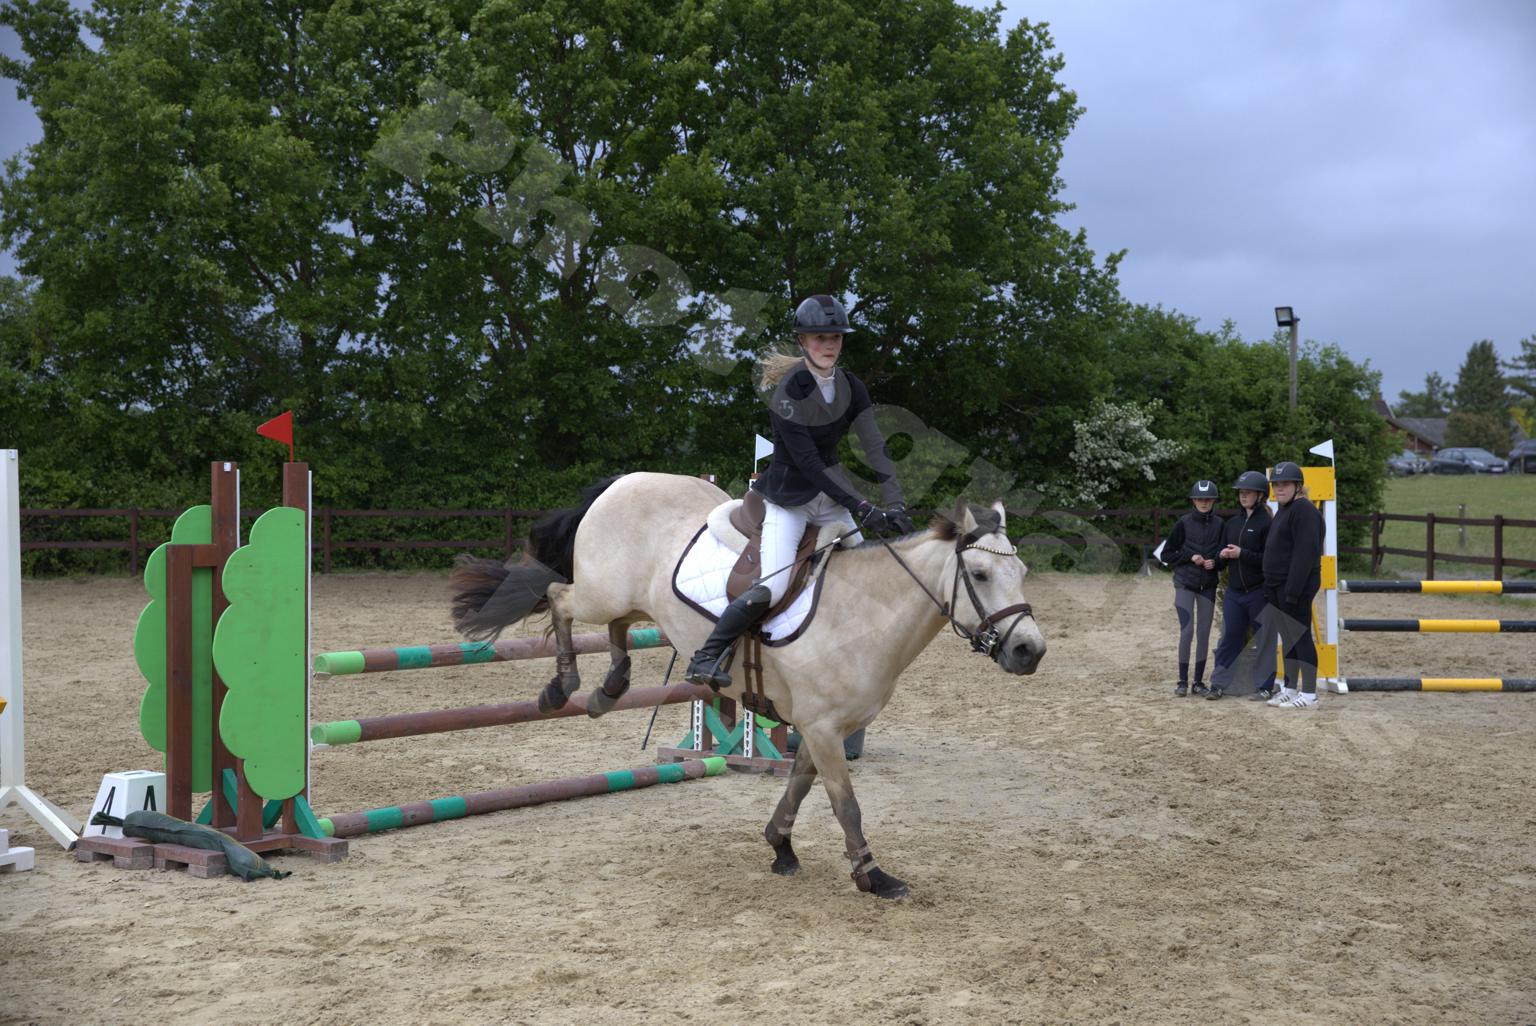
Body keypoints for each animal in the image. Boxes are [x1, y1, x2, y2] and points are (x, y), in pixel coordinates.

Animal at [449, 472, 1046, 898]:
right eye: (981, 576)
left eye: (1022, 575)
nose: (1030, 651)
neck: (864, 612)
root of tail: (621, 481)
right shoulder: (823, 728)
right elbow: (845, 804)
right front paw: (872, 875)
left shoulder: (820, 727)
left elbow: (799, 786)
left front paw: (780, 845)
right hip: (601, 591)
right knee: (560, 598)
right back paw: (564, 686)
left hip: (633, 601)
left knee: (616, 627)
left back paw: (608, 688)